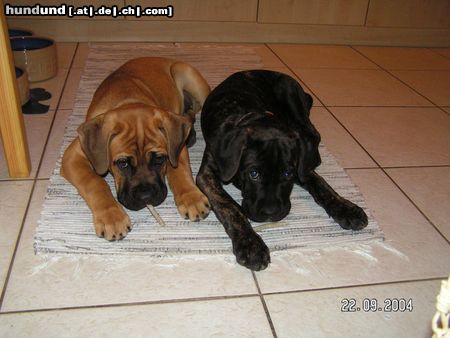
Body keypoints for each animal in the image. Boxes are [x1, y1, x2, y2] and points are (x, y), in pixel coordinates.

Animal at [198, 70, 370, 270]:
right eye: (253, 174)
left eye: (288, 174)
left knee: (313, 134)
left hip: (291, 97)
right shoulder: (207, 173)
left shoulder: (301, 168)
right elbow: (229, 206)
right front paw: (250, 244)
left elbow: (322, 185)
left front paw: (346, 208)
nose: (271, 213)